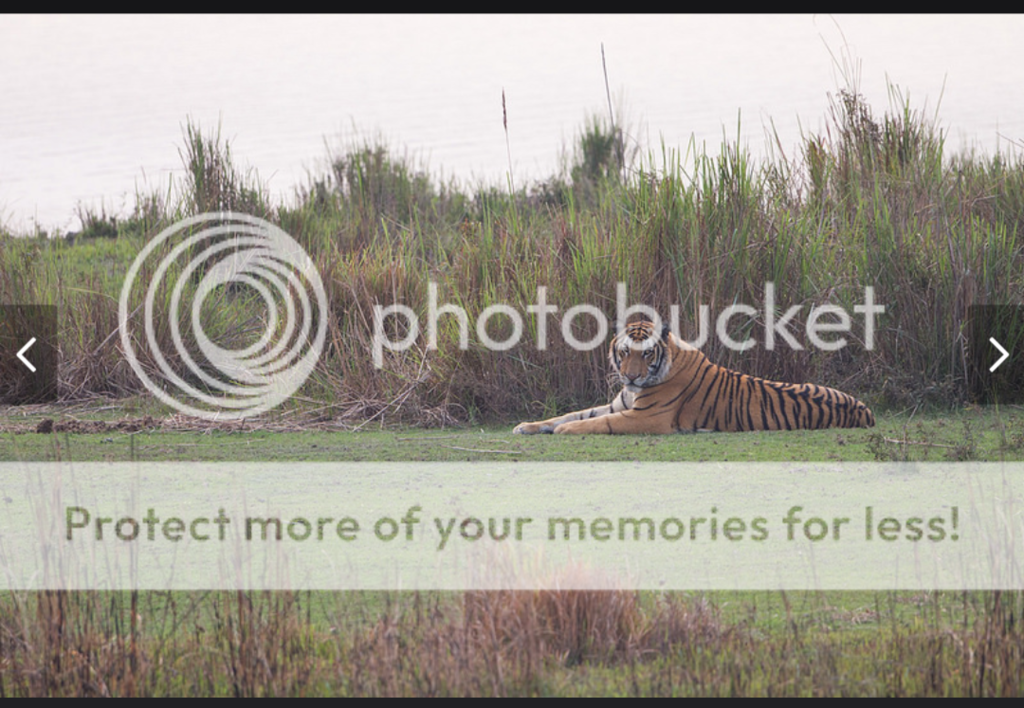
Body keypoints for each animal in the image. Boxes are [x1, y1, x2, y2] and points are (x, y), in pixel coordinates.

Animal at [516, 317, 876, 434]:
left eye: (646, 353)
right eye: (625, 352)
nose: (631, 378)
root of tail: (866, 410)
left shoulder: (645, 418)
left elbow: (596, 422)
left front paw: (564, 431)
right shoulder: (620, 405)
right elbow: (572, 413)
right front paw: (527, 426)